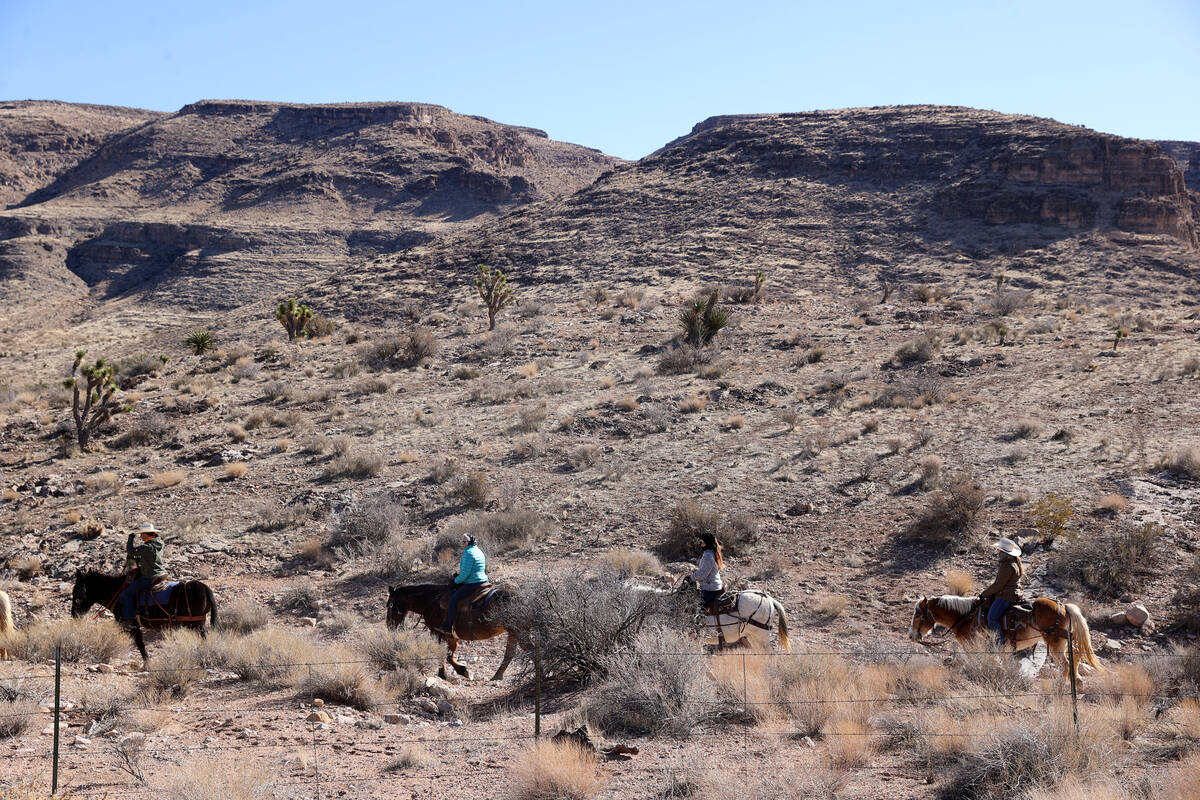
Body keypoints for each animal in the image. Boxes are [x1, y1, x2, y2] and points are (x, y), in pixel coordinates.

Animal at [69, 568, 218, 662]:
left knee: (204, 639)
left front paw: (147, 664)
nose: (74, 614)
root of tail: (204, 587)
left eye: (77, 592)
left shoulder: (131, 625)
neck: (117, 592)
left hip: (196, 625)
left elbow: (140, 644)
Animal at [384, 582, 516, 681]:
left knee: (510, 653)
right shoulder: (451, 636)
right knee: (510, 653)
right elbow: (449, 654)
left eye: (389, 605)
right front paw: (461, 671)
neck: (430, 601)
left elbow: (442, 653)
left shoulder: (437, 632)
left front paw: (445, 673)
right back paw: (498, 675)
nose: (389, 625)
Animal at [902, 594, 1099, 681]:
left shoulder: (972, 645)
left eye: (918, 615)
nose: (911, 635)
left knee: (1066, 664)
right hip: (1063, 643)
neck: (966, 616)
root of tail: (1064, 606)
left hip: (1056, 644)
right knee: (1074, 659)